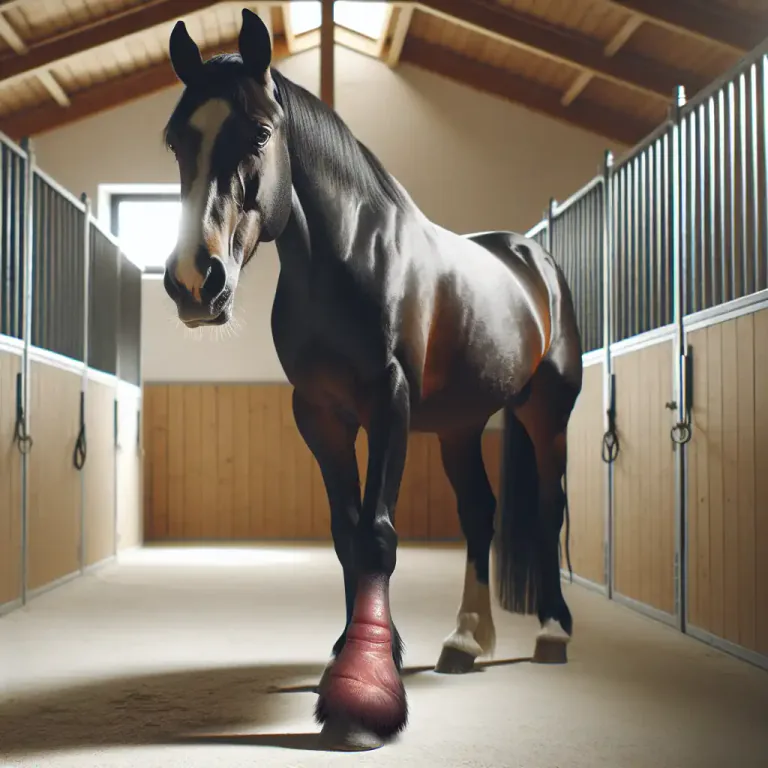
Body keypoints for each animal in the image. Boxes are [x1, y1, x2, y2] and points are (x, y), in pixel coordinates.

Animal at [161, 9, 582, 751]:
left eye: (260, 133)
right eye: (175, 140)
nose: (194, 282)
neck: (346, 259)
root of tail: (534, 259)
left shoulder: (390, 403)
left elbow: (379, 536)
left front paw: (364, 691)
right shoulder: (319, 415)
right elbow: (346, 533)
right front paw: (354, 654)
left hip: (546, 413)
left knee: (548, 507)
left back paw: (553, 632)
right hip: (460, 426)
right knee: (479, 514)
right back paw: (466, 641)